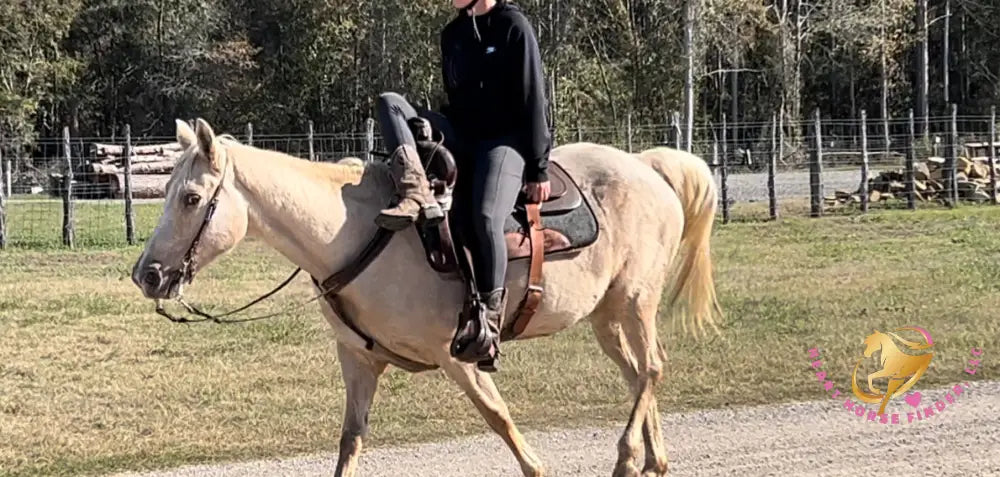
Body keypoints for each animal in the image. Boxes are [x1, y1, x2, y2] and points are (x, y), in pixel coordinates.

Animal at [133, 118, 724, 476]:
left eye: (191, 198)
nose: (148, 274)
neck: (359, 233)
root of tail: (647, 166)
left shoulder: (458, 354)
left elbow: (501, 421)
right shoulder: (358, 361)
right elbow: (350, 440)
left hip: (636, 299)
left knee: (653, 367)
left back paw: (628, 457)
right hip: (606, 315)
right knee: (637, 373)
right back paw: (652, 460)